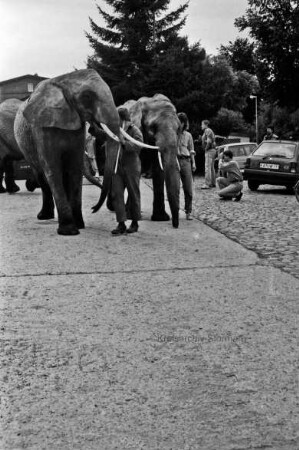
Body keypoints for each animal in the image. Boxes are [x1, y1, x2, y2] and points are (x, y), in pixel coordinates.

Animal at [12, 69, 138, 237]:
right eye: (87, 96)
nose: (93, 209)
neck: (63, 79)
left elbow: (74, 168)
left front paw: (79, 225)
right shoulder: (41, 127)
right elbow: (53, 168)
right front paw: (69, 231)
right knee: (42, 177)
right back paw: (44, 217)